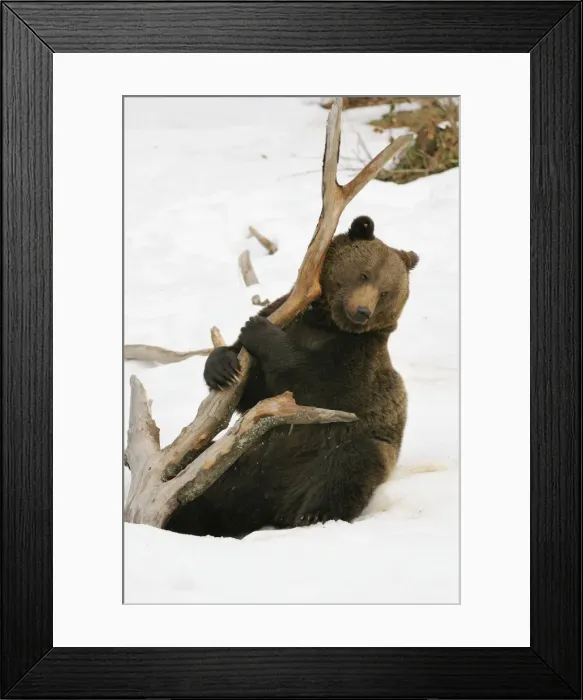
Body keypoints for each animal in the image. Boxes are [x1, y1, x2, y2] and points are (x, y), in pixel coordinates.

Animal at [165, 215, 419, 538]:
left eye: (386, 291)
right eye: (364, 274)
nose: (363, 310)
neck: (326, 323)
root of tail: (270, 504)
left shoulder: (358, 360)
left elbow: (316, 381)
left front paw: (258, 330)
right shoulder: (289, 316)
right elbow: (255, 389)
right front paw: (222, 367)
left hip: (330, 453)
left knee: (345, 470)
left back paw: (312, 517)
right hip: (238, 464)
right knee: (202, 492)